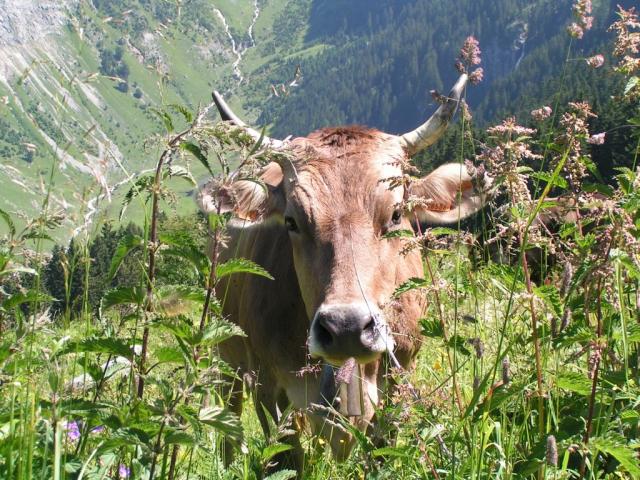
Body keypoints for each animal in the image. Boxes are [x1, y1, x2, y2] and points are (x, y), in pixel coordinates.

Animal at [197, 74, 490, 471]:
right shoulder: (267, 384)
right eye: (291, 221)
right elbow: (286, 458)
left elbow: (382, 451)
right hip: (226, 354)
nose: (346, 328)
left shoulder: (401, 378)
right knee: (229, 412)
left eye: (396, 214)